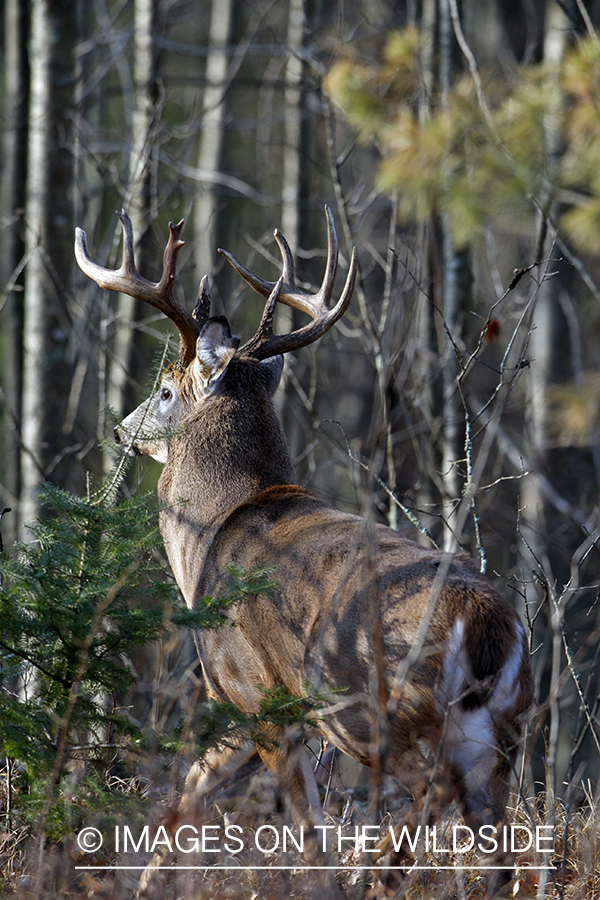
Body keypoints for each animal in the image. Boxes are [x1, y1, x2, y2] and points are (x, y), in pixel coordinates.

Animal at [75, 207, 536, 896]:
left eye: (164, 389)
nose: (119, 429)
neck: (211, 533)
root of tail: (489, 628)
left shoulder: (255, 689)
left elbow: (307, 831)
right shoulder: (232, 703)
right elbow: (188, 796)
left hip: (369, 705)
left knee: (428, 792)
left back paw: (378, 873)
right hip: (504, 731)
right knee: (499, 848)